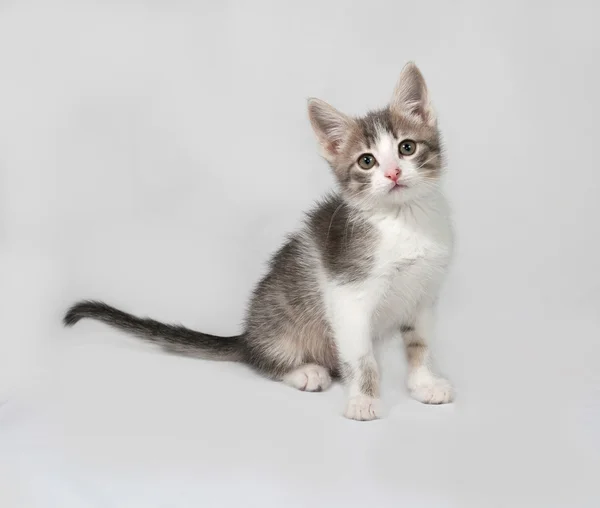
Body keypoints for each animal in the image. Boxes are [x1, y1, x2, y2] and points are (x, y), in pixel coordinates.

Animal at [63, 62, 452, 420]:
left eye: (407, 147)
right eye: (366, 161)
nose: (393, 173)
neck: (403, 221)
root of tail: (247, 336)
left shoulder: (424, 295)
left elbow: (420, 344)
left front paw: (424, 384)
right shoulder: (348, 295)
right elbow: (361, 357)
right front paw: (364, 401)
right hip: (282, 323)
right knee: (260, 361)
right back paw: (304, 371)